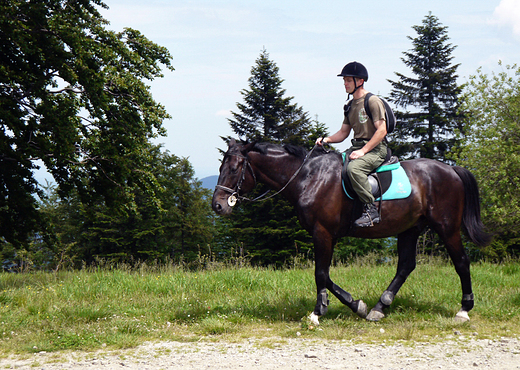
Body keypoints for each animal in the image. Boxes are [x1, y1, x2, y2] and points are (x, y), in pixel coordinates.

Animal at [211, 139, 492, 324]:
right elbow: (325, 276)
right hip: (409, 228)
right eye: (221, 167)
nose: (217, 205)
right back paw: (379, 307)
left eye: (234, 169)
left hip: (447, 227)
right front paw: (358, 306)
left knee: (461, 262)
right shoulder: (325, 235)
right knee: (405, 266)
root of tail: (451, 169)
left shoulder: (323, 233)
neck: (307, 177)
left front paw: (318, 312)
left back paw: (464, 309)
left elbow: (321, 274)